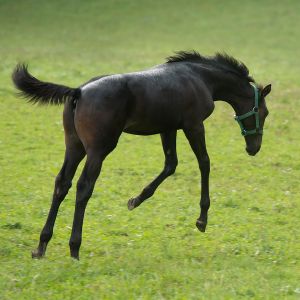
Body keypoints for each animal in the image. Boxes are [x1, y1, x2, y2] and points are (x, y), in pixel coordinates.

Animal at [11, 51, 270, 258]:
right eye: (264, 112)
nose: (254, 148)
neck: (200, 78)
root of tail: (79, 91)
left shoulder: (168, 127)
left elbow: (171, 164)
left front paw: (135, 200)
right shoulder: (193, 125)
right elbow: (204, 163)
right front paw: (202, 220)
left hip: (74, 146)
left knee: (62, 183)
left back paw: (41, 246)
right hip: (99, 149)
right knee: (84, 186)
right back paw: (74, 248)